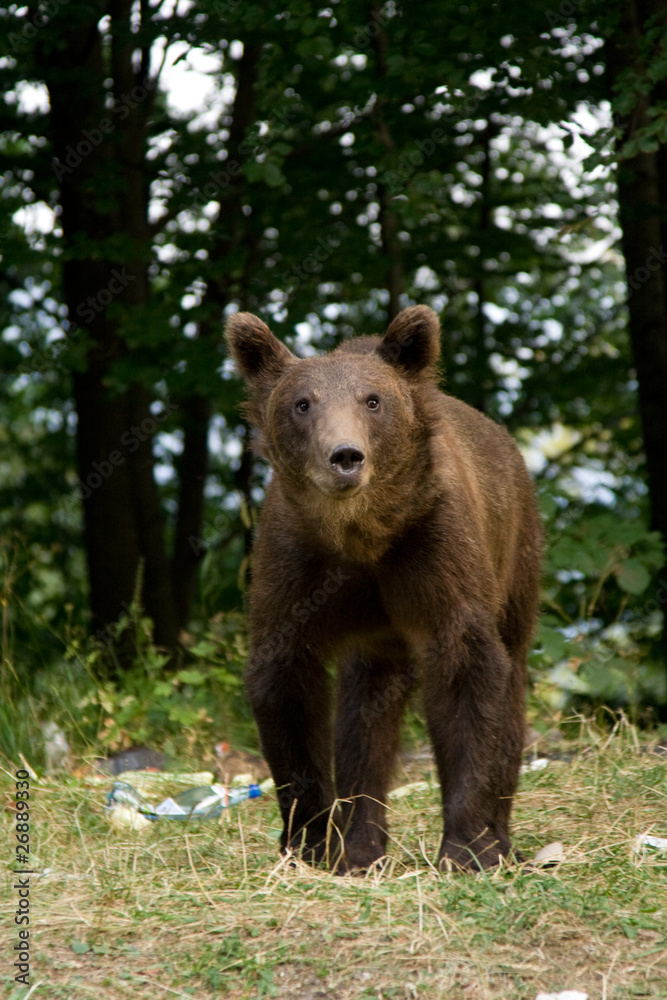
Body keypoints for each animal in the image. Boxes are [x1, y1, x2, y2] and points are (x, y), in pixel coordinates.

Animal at [225, 304, 542, 872]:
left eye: (372, 400)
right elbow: (286, 684)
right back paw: (361, 844)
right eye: (302, 403)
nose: (344, 456)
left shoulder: (436, 553)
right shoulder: (294, 563)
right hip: (377, 641)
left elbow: (468, 673)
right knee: (365, 714)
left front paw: (467, 847)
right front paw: (309, 842)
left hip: (515, 554)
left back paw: (500, 837)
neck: (365, 535)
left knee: (511, 681)